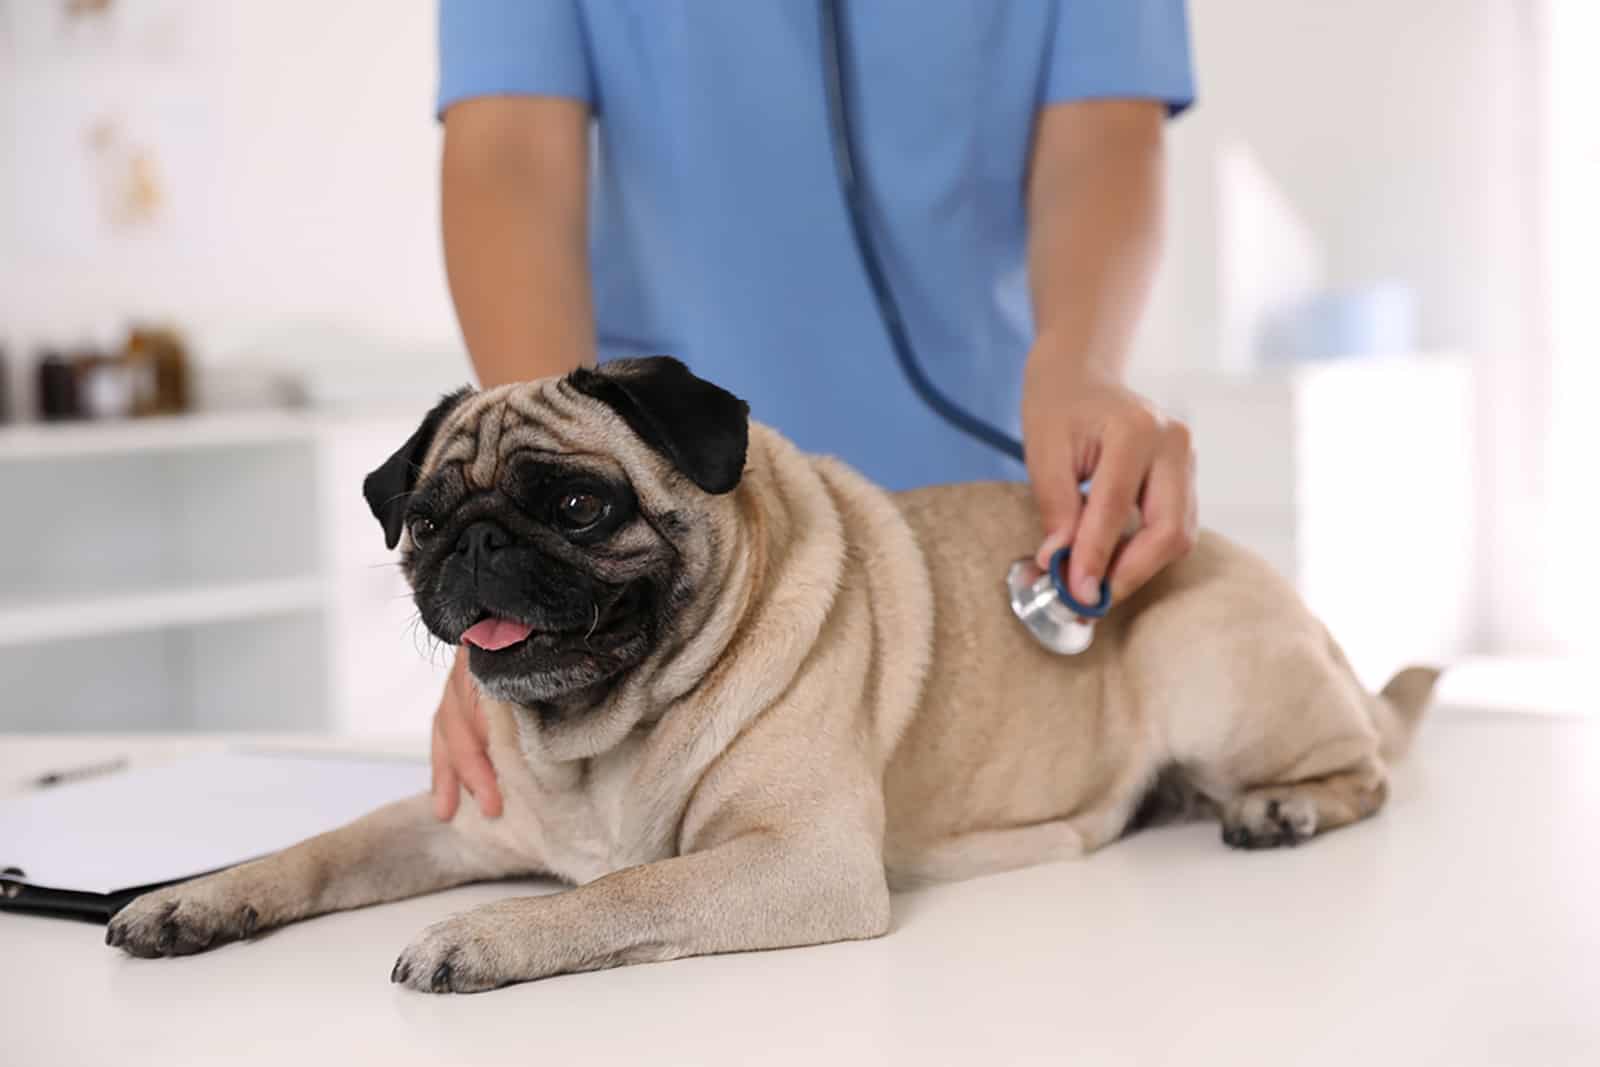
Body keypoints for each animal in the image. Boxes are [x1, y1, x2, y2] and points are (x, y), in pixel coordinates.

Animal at [106, 358, 1446, 991]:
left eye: (580, 506)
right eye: (425, 522)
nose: (478, 544)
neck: (596, 738)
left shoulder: (799, 859)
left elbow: (620, 892)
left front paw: (486, 933)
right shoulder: (449, 819)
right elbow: (316, 848)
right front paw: (195, 898)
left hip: (1202, 657)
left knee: (1370, 769)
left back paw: (1280, 807)